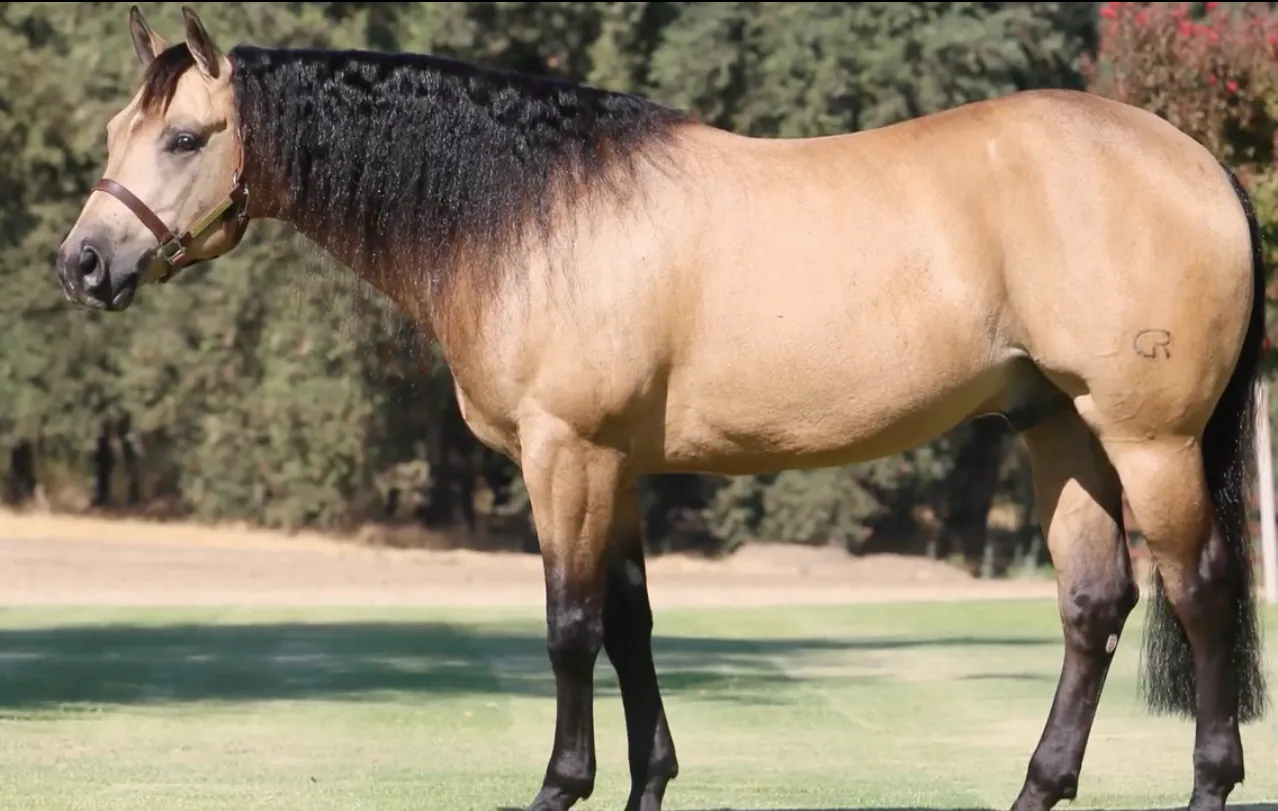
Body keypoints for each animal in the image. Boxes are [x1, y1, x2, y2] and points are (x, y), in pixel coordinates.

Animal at [55, 7, 1269, 811]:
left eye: (184, 138)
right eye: (115, 128)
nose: (83, 263)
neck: (533, 214)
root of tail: (1200, 163)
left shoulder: (568, 454)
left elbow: (570, 627)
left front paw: (559, 784)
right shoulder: (621, 467)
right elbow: (633, 625)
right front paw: (647, 781)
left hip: (1148, 441)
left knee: (1202, 593)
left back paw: (1209, 783)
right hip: (1056, 428)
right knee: (1093, 605)